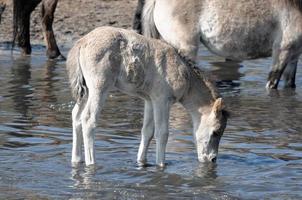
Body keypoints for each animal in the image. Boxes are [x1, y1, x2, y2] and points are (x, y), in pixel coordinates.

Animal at [65, 26, 226, 167]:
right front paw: (161, 165)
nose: (212, 159)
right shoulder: (162, 100)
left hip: (85, 90)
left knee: (76, 116)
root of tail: (82, 42)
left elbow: (147, 131)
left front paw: (141, 162)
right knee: (88, 119)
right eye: (216, 132)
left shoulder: (149, 100)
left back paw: (76, 160)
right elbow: (162, 133)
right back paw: (91, 163)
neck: (184, 74)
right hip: (99, 87)